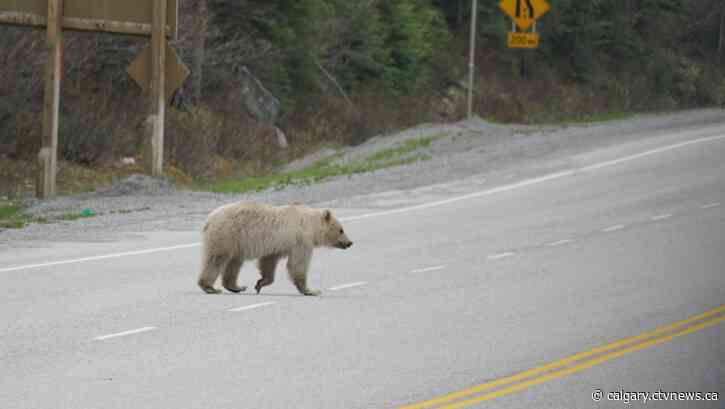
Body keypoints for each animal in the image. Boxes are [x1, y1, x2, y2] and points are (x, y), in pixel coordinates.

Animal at [197, 201, 353, 296]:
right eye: (341, 230)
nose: (350, 242)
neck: (311, 225)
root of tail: (209, 219)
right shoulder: (300, 241)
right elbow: (298, 264)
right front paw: (310, 290)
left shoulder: (276, 245)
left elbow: (268, 262)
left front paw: (260, 283)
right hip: (226, 235)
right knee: (216, 259)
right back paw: (209, 287)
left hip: (236, 244)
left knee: (234, 263)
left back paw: (236, 286)